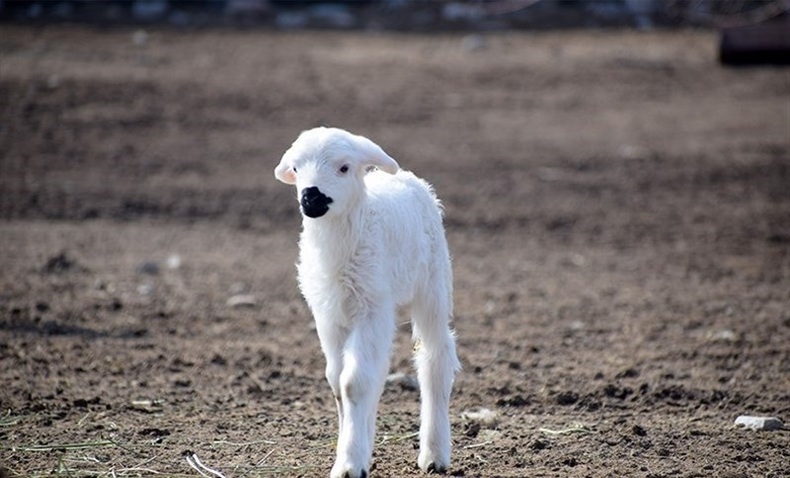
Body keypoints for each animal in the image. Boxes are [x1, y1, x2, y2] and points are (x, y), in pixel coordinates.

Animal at [276, 127, 464, 478]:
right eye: (296, 168)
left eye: (344, 167)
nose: (311, 197)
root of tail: (406, 177)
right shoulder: (328, 316)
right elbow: (338, 381)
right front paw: (354, 453)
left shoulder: (372, 309)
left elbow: (355, 383)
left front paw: (349, 464)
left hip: (432, 285)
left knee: (435, 358)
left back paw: (434, 455)